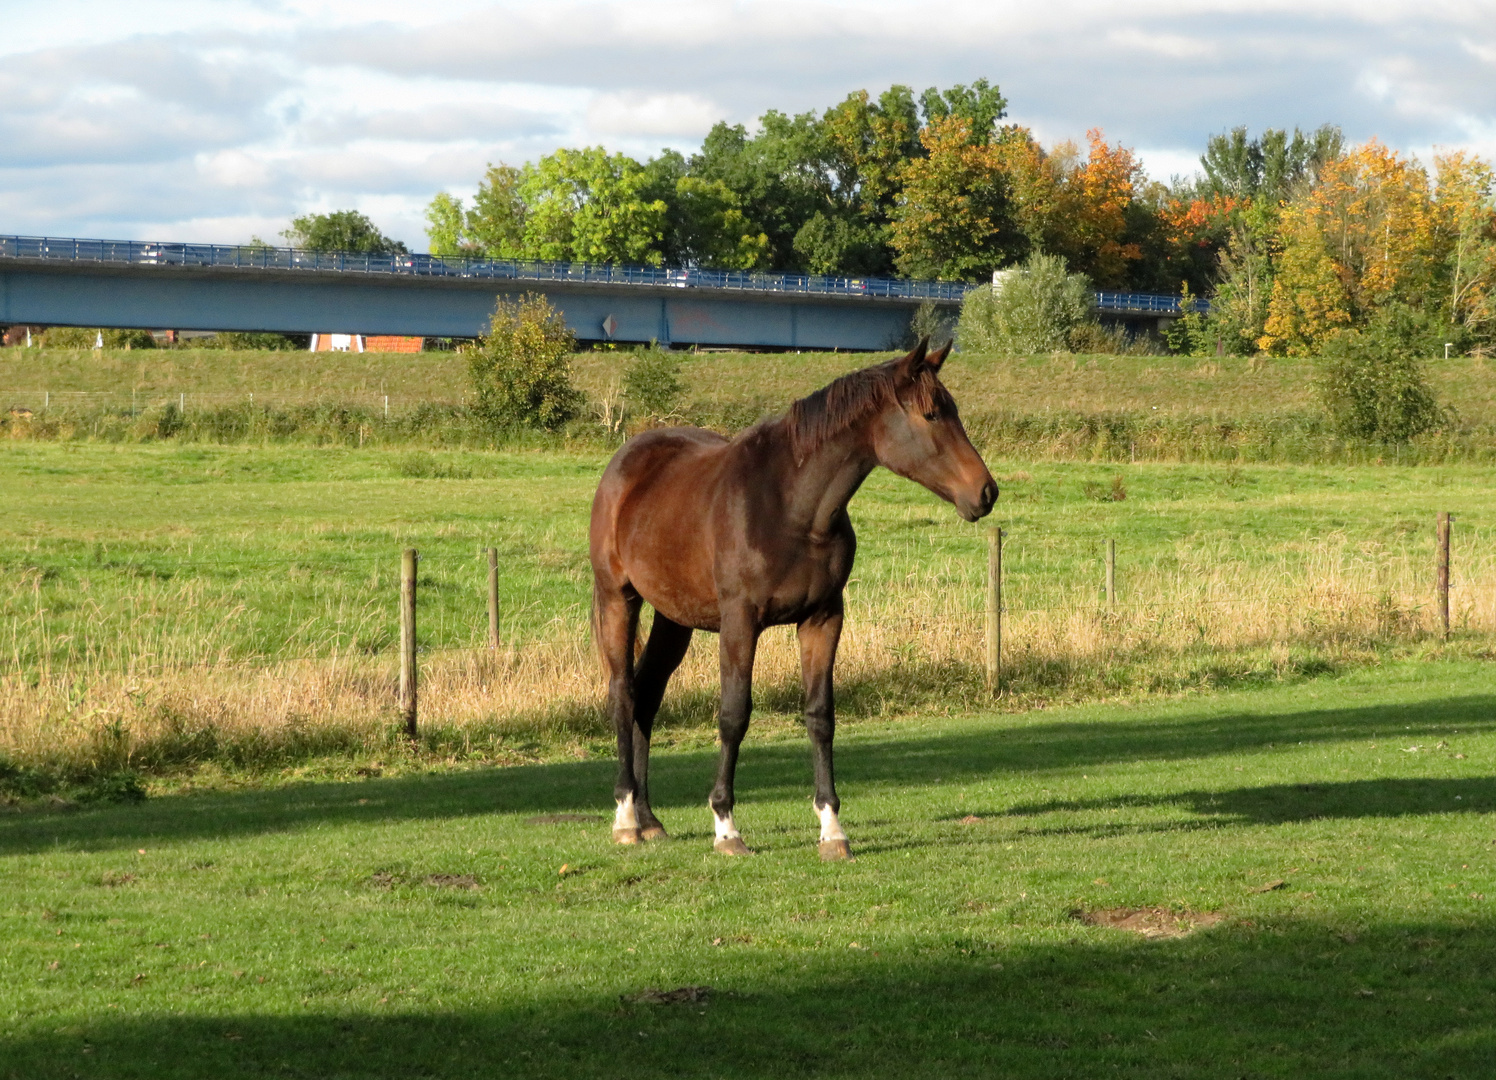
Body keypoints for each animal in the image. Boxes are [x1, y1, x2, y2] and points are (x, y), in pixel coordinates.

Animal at [589, 336, 999, 855]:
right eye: (930, 415)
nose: (985, 492)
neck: (792, 508)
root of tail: (626, 462)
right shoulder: (740, 622)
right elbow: (734, 715)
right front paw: (726, 826)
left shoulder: (823, 618)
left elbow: (820, 716)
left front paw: (832, 828)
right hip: (617, 599)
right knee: (623, 693)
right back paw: (626, 818)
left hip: (674, 618)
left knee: (646, 695)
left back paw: (648, 818)